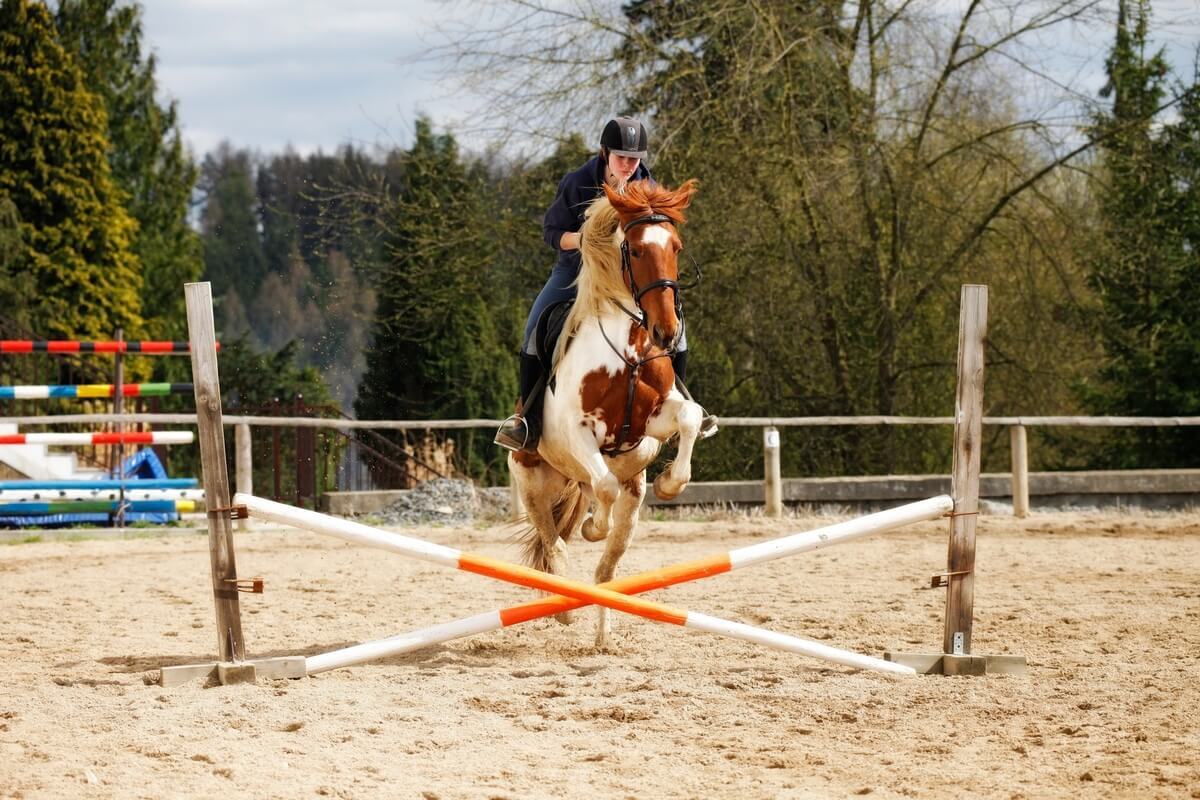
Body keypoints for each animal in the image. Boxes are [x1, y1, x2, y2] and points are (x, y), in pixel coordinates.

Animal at [508, 178, 705, 649]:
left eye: (675, 245)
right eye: (634, 249)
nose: (666, 332)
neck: (629, 347)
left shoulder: (654, 420)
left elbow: (690, 416)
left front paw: (671, 483)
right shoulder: (579, 433)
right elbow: (603, 485)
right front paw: (594, 526)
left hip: (631, 500)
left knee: (606, 568)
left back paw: (603, 637)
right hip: (532, 484)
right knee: (556, 545)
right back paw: (563, 607)